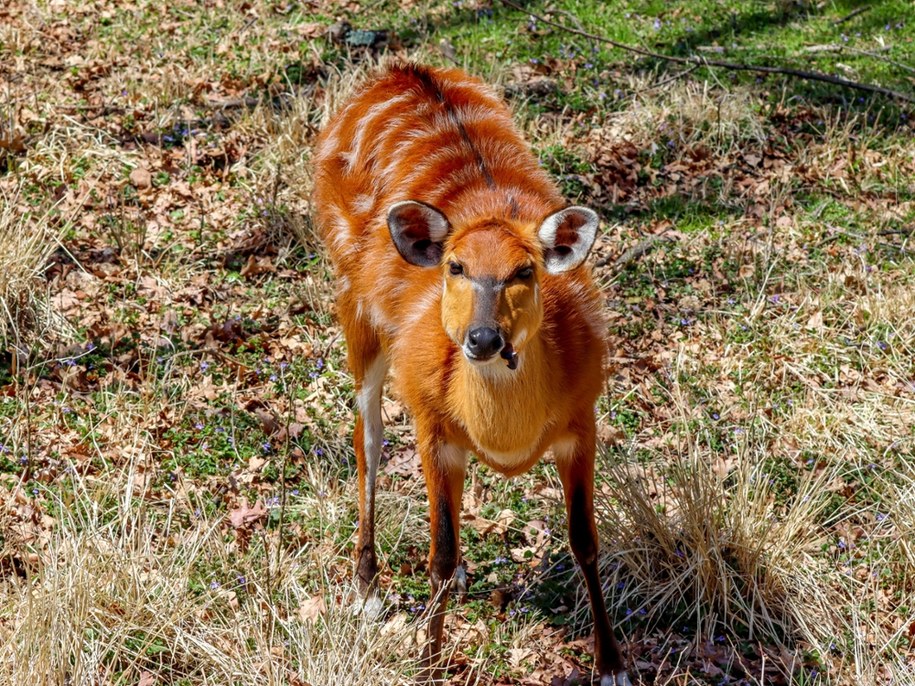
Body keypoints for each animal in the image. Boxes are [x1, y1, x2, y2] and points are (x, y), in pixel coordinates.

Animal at [314, 64, 628, 686]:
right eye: (455, 266)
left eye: (524, 270)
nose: (483, 340)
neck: (507, 438)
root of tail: (400, 71)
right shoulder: (433, 426)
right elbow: (437, 554)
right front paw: (428, 663)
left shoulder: (582, 419)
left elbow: (585, 541)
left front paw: (611, 665)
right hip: (354, 308)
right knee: (367, 435)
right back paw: (367, 590)